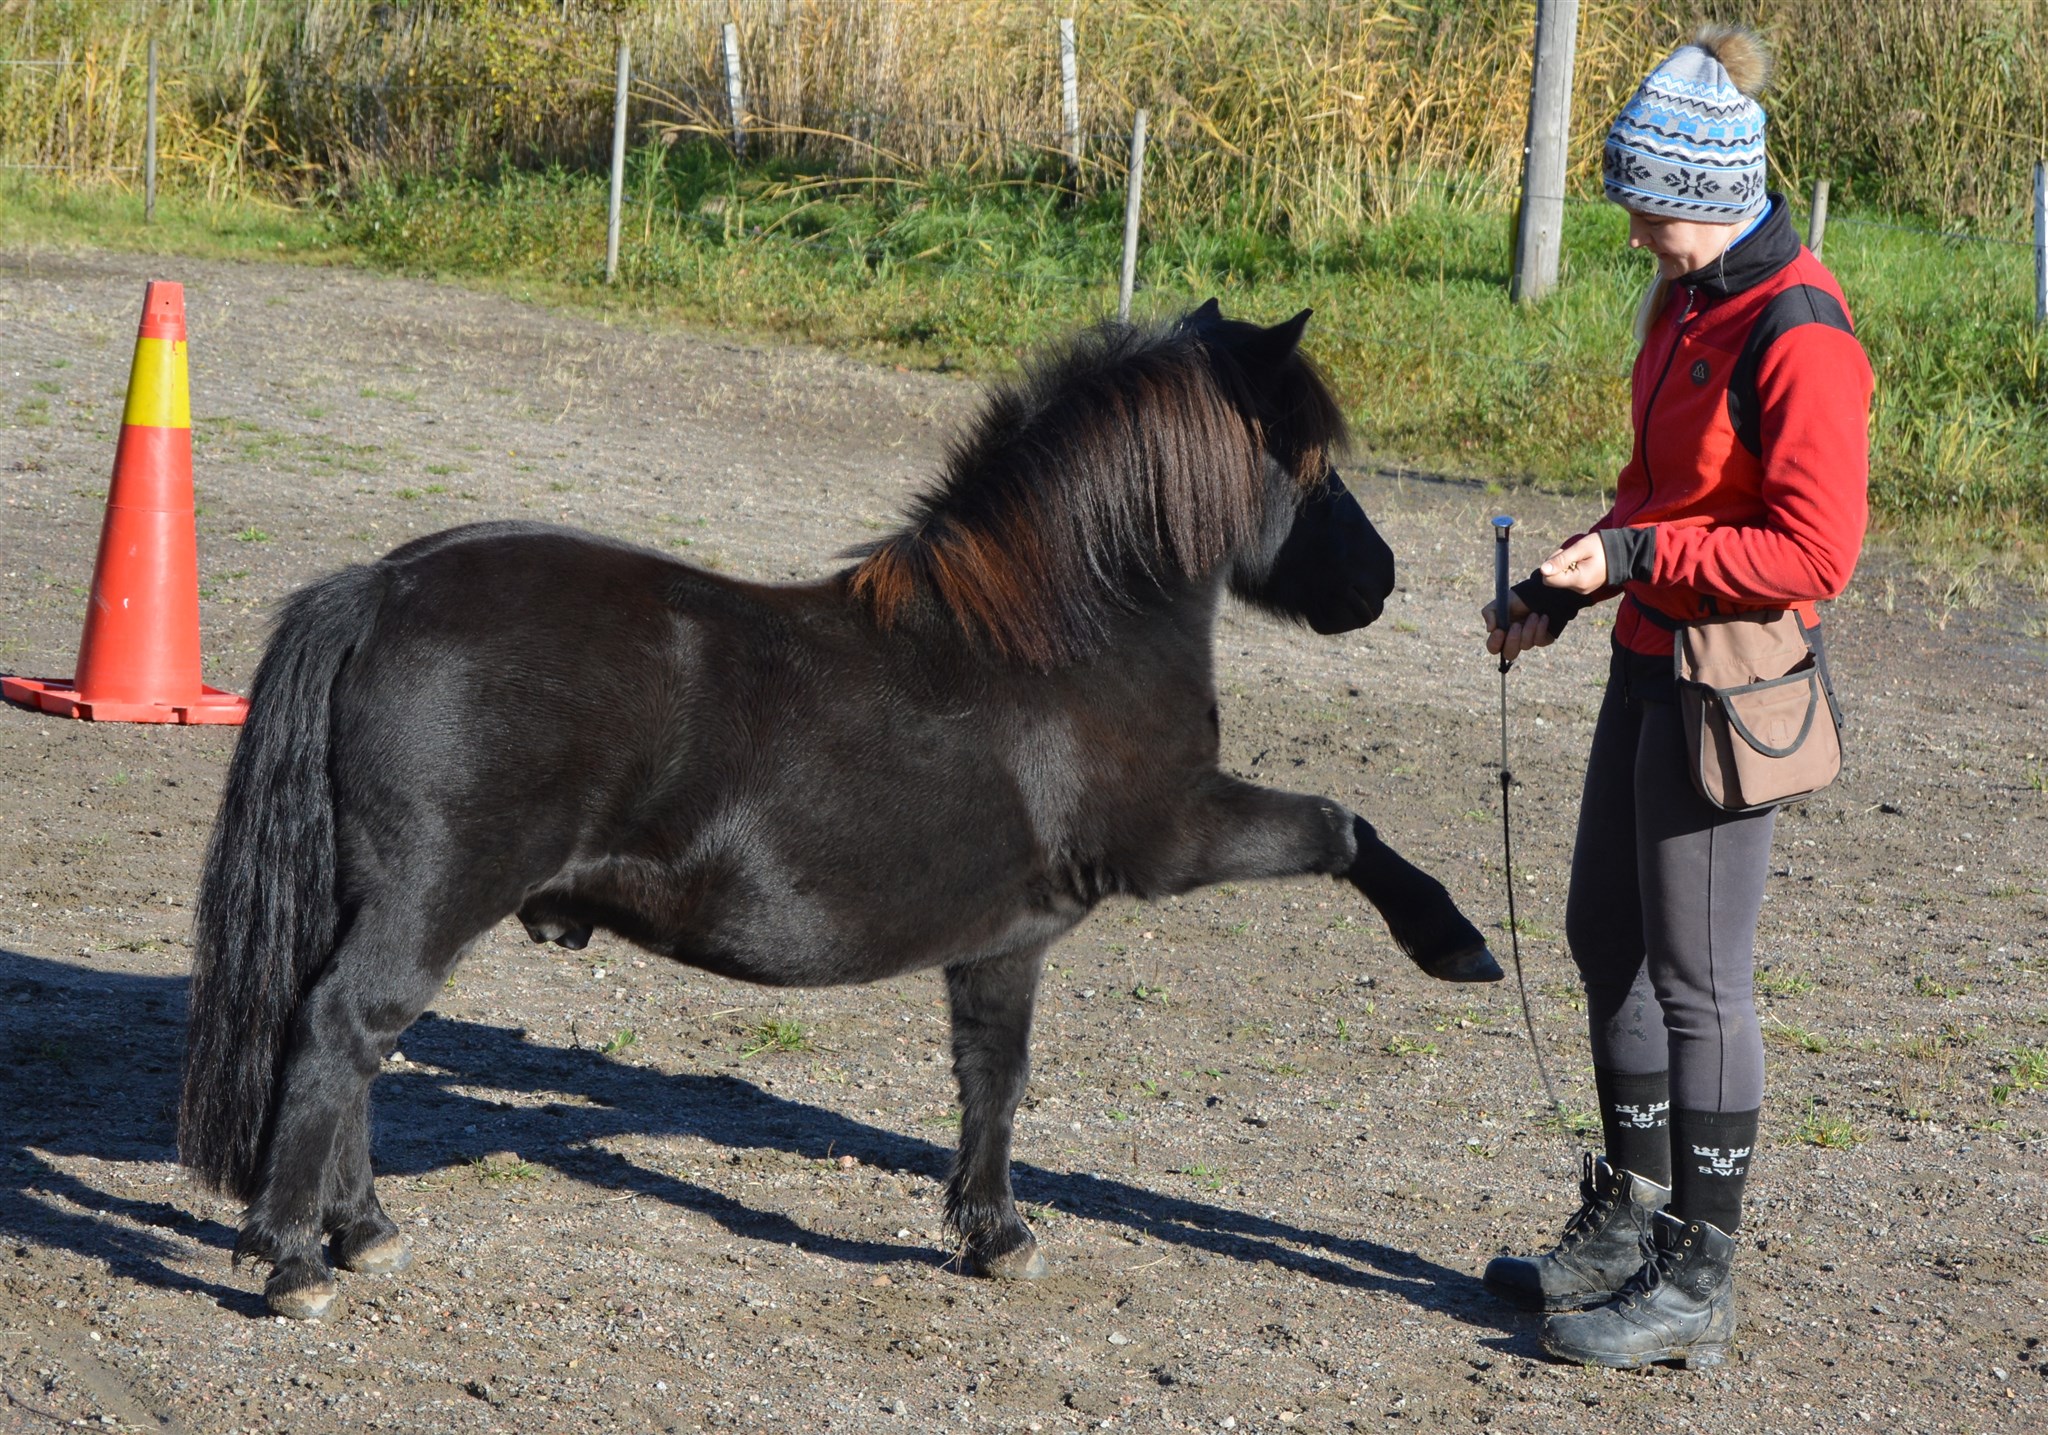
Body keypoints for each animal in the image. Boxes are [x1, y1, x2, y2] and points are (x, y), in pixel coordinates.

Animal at [184, 302, 1499, 1318]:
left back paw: (362, 1229)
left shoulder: (1006, 940)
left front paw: (993, 1233)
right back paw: (296, 1260)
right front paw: (1453, 941)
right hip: (431, 899)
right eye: (1312, 466)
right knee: (340, 1031)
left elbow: (993, 1076)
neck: (1062, 636)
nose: (1380, 582)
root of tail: (382, 586)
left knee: (354, 1047)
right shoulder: (1171, 839)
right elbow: (1339, 827)